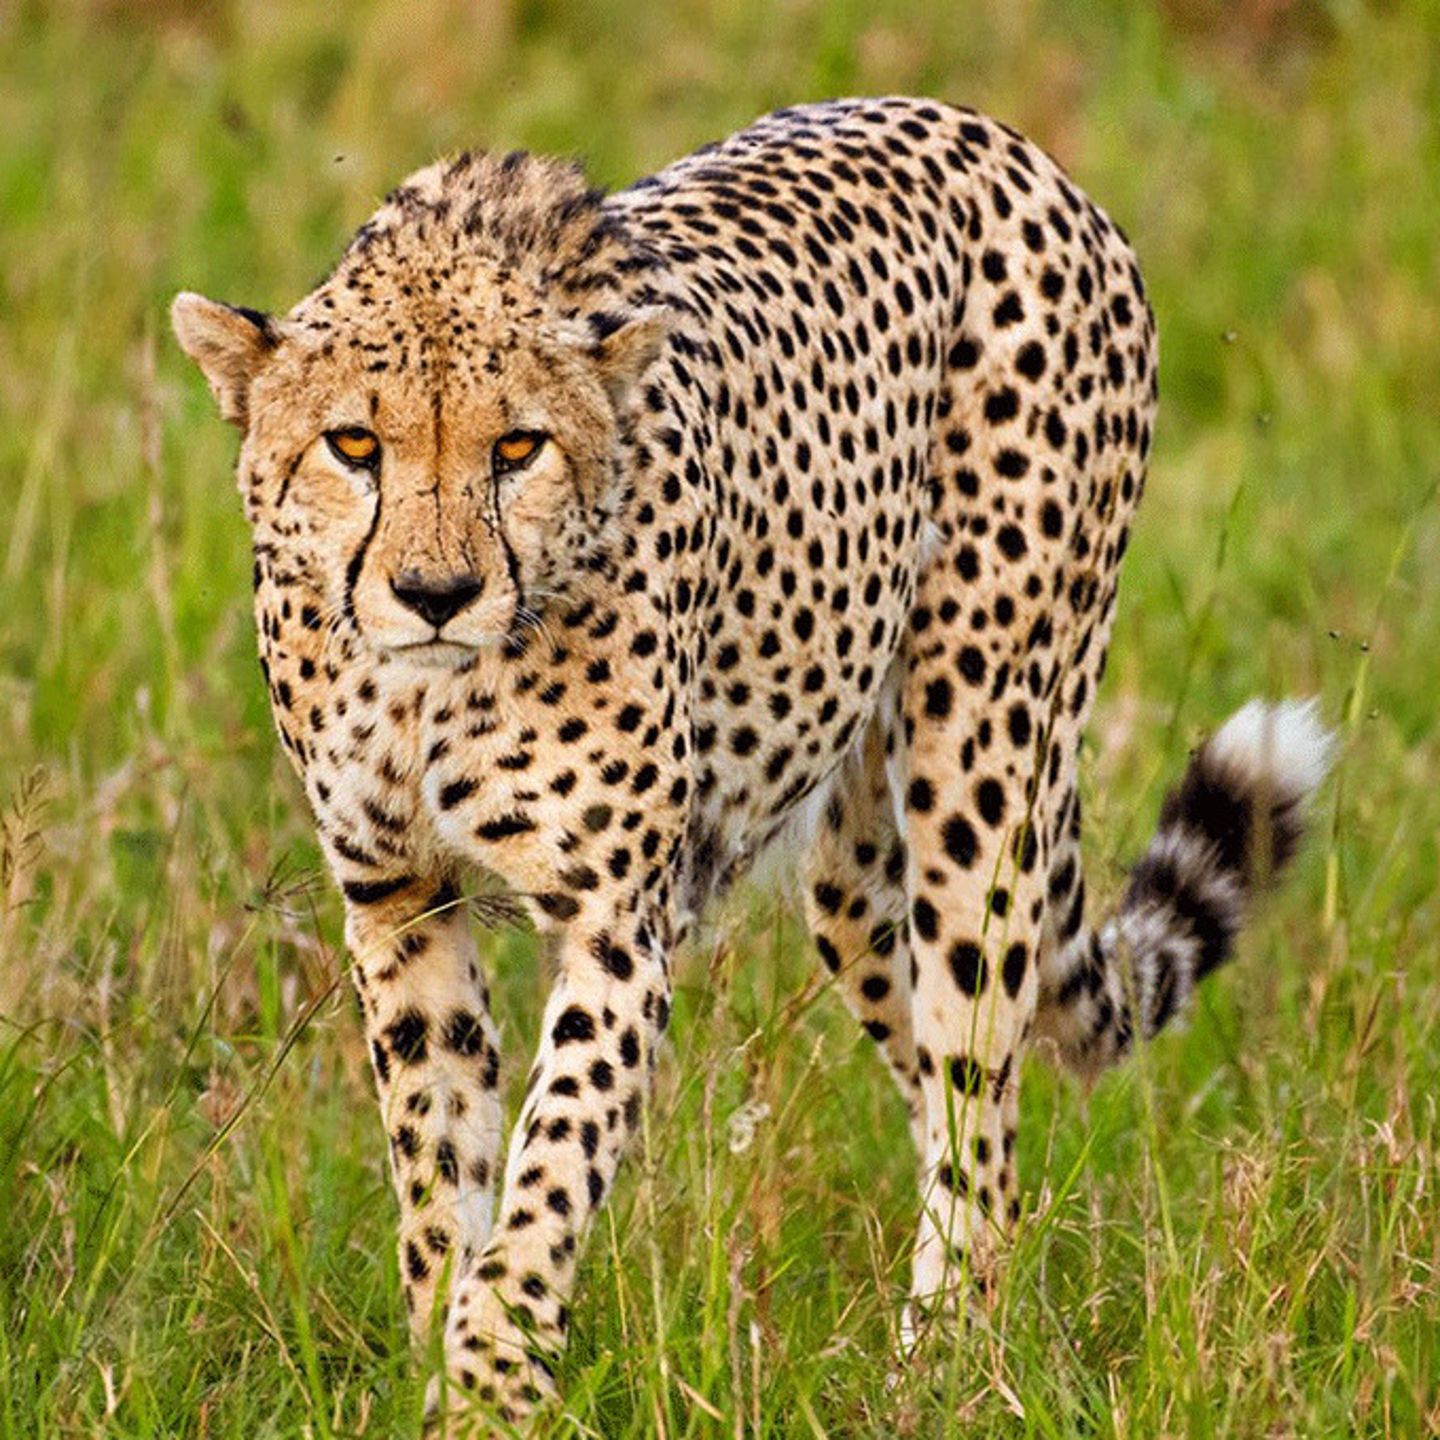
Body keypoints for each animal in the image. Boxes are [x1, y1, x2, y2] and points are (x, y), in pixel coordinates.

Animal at [172, 96, 1331, 1432]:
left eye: (518, 448)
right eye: (352, 443)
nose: (435, 591)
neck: (427, 692)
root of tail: (988, 133)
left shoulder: (618, 917)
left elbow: (552, 1159)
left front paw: (493, 1375)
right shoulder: (398, 902)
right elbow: (439, 1163)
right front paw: (439, 1357)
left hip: (982, 770)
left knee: (978, 1092)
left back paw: (946, 1362)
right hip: (853, 870)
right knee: (952, 1087)